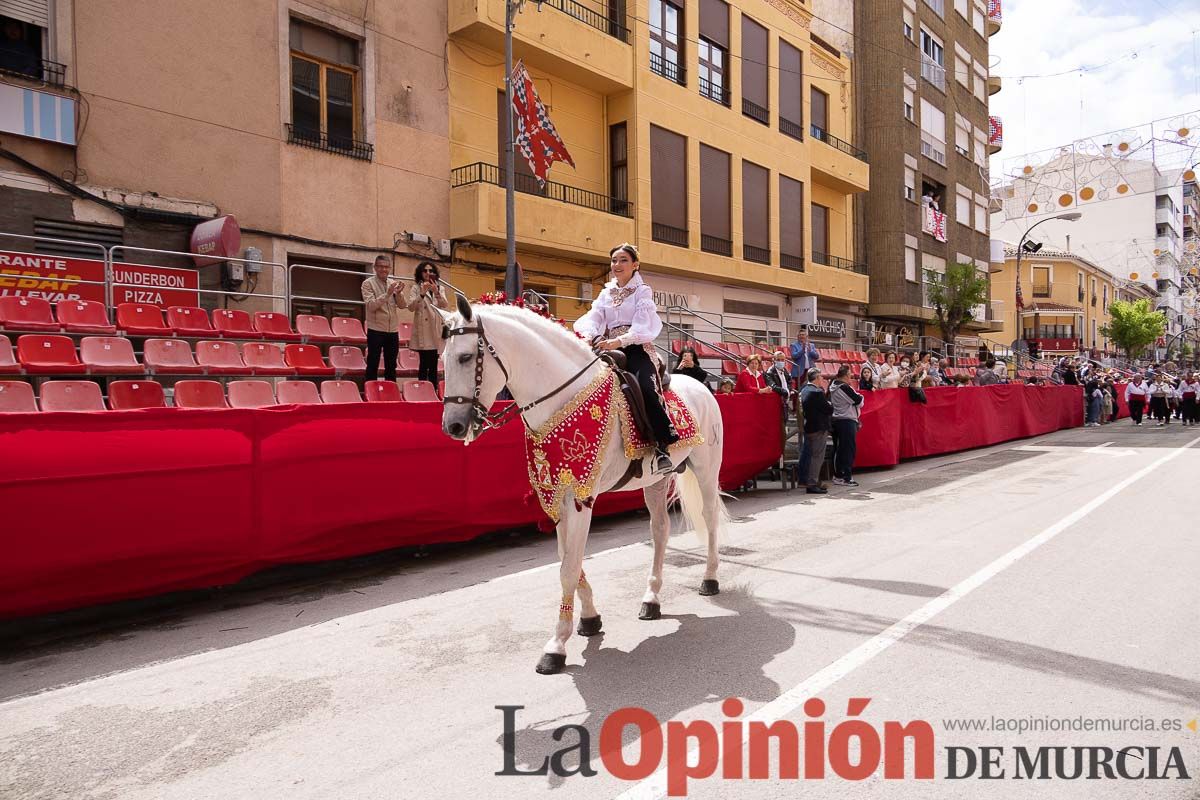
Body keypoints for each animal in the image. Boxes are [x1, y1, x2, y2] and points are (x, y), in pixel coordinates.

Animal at [436, 297, 724, 671]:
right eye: (443, 359)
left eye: (465, 357)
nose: (453, 427)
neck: (561, 398)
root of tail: (701, 386)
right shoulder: (555, 495)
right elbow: (566, 558)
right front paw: (589, 617)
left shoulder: (580, 497)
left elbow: (568, 568)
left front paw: (557, 645)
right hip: (656, 481)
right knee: (660, 531)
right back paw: (651, 598)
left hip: (706, 469)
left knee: (710, 518)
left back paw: (710, 579)